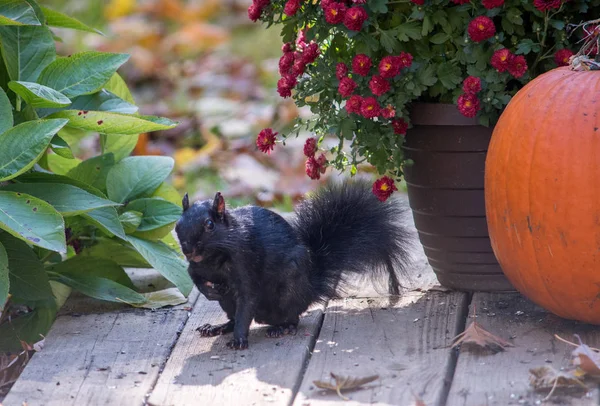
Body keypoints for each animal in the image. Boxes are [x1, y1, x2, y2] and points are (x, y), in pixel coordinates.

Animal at [175, 179, 412, 350]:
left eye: (209, 224)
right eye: (177, 224)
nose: (188, 250)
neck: (213, 259)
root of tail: (309, 288)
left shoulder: (246, 263)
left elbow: (247, 301)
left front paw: (239, 340)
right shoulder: (194, 267)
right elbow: (196, 278)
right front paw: (210, 291)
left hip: (289, 290)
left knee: (292, 317)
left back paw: (282, 328)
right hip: (228, 303)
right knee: (233, 316)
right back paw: (217, 326)